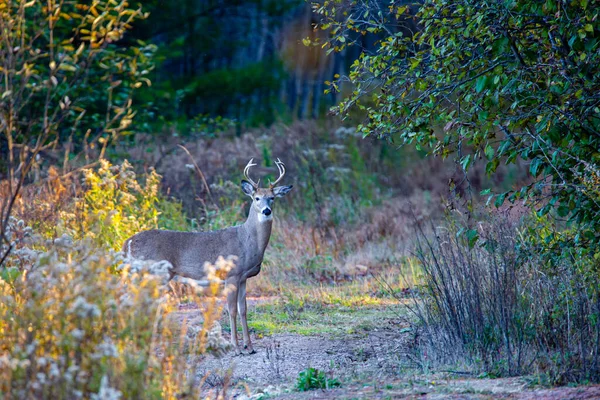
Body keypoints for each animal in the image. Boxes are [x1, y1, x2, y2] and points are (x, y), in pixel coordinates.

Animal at [122, 158, 290, 354]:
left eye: (272, 198)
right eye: (256, 198)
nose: (266, 211)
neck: (246, 240)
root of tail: (127, 242)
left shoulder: (243, 278)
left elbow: (243, 309)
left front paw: (249, 347)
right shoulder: (231, 274)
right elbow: (231, 309)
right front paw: (236, 347)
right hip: (151, 272)